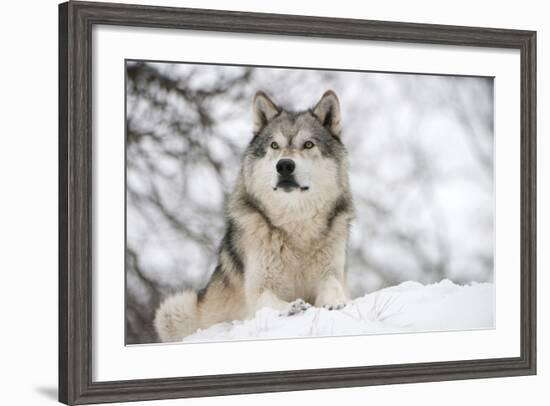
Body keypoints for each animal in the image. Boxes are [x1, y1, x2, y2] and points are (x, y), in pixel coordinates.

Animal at [154, 90, 354, 340]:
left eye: (308, 144)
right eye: (274, 145)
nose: (284, 165)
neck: (295, 227)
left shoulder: (332, 273)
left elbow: (333, 286)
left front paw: (334, 302)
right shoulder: (258, 289)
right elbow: (269, 301)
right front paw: (292, 307)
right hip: (174, 308)